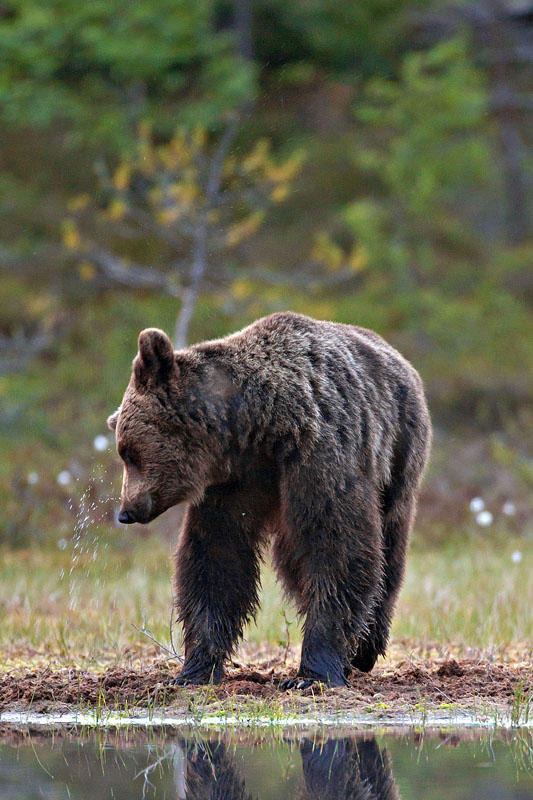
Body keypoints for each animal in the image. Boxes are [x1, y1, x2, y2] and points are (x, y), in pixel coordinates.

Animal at [106, 312, 430, 688]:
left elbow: (337, 548)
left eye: (128, 452)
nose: (126, 511)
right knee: (292, 560)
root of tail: (402, 362)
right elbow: (217, 560)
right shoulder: (233, 485)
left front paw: (312, 674)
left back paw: (365, 648)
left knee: (388, 548)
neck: (258, 427)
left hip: (398, 456)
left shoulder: (319, 455)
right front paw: (195, 668)